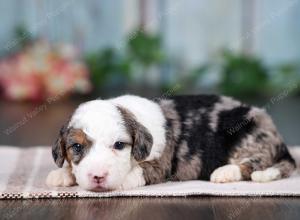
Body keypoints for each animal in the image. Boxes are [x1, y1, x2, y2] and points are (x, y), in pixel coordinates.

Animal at [45, 94, 296, 191]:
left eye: (119, 145)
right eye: (77, 147)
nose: (98, 177)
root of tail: (278, 138)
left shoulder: (161, 164)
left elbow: (139, 171)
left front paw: (120, 181)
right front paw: (61, 175)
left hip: (250, 138)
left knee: (255, 162)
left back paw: (225, 172)